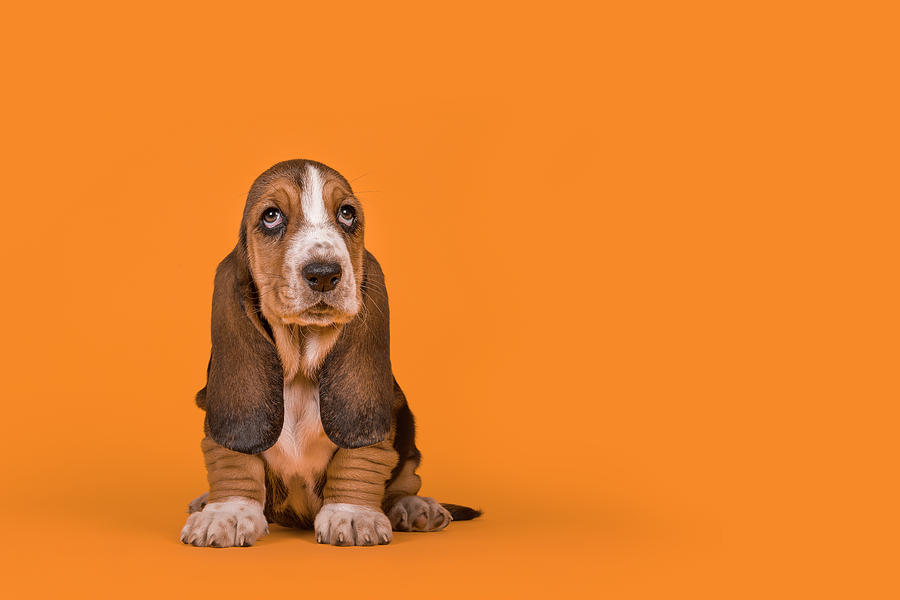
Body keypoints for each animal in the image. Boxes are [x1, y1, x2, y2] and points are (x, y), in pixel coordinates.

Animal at [179, 159, 482, 548]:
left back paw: (415, 507)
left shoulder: (376, 421)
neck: (298, 367)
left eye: (347, 214)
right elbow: (234, 460)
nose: (323, 274)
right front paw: (227, 511)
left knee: (405, 479)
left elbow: (360, 458)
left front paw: (352, 515)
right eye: (271, 216)